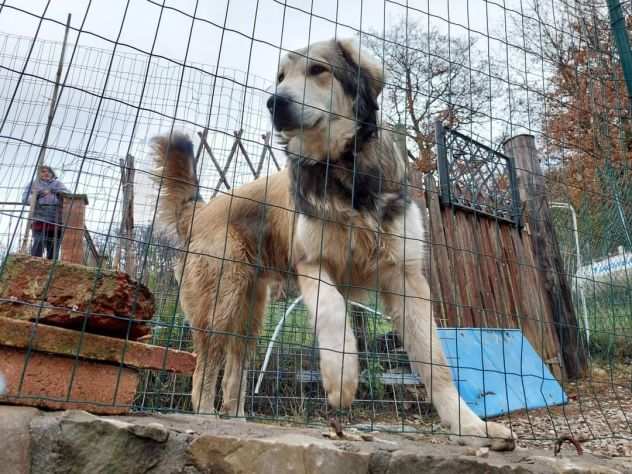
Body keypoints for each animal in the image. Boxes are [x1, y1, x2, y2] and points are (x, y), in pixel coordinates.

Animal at [153, 39, 512, 450]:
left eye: (318, 70)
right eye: (281, 77)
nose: (275, 102)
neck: (345, 171)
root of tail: (200, 211)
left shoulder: (406, 279)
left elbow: (437, 366)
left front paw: (470, 427)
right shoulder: (313, 265)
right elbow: (333, 314)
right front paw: (342, 379)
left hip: (250, 313)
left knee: (234, 370)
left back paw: (238, 419)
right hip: (221, 302)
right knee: (204, 367)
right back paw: (205, 417)